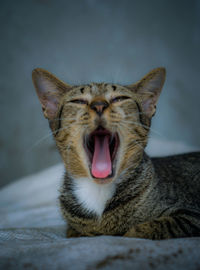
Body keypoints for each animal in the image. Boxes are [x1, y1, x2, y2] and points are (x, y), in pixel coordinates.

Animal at [32, 67, 199, 238]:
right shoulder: (73, 229)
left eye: (119, 98)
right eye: (79, 101)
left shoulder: (191, 214)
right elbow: (76, 232)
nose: (99, 105)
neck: (98, 191)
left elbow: (149, 227)